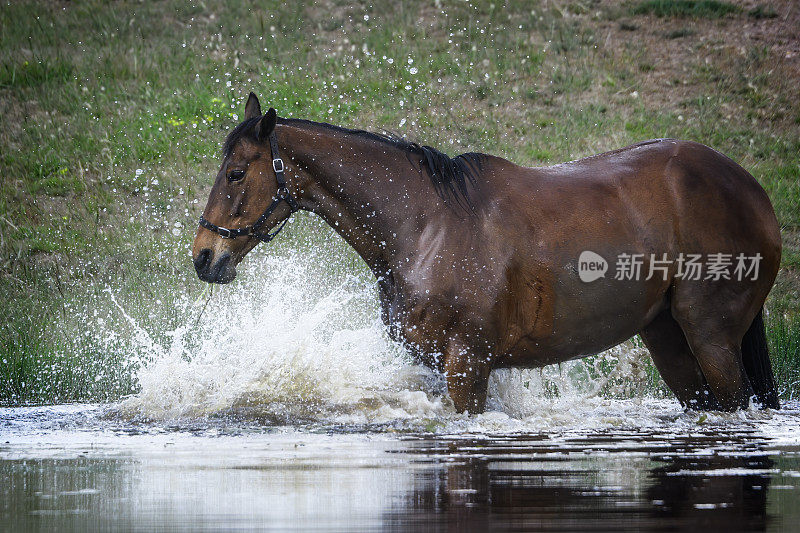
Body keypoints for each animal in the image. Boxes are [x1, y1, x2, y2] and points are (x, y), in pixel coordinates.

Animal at [191, 93, 780, 414]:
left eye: (236, 173)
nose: (203, 256)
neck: (427, 227)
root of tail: (750, 189)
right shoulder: (436, 367)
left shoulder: (468, 366)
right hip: (669, 340)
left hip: (711, 338)